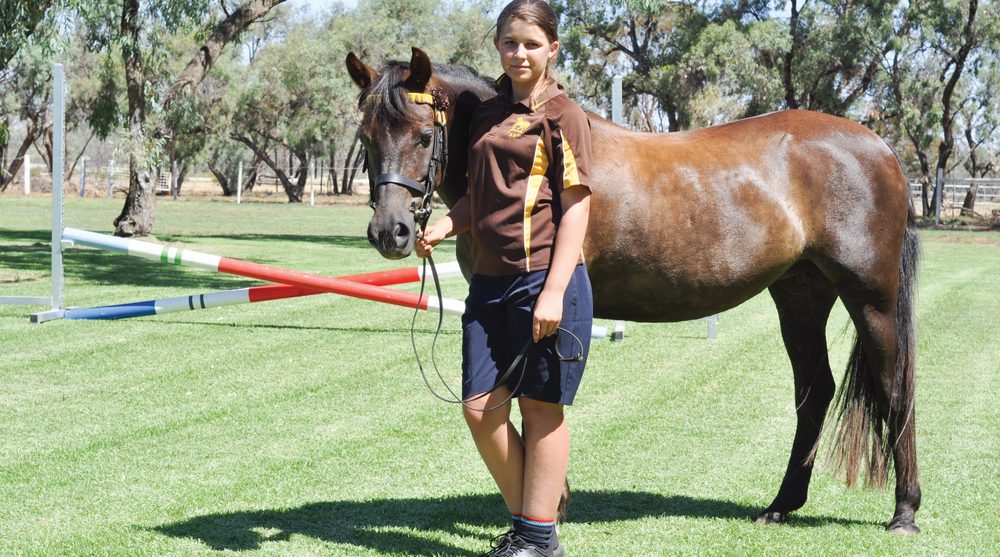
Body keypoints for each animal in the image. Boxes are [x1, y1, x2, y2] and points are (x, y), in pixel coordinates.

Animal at [345, 47, 922, 534]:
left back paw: (905, 512)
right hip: (800, 295)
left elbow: (535, 403)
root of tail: (882, 148)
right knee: (815, 392)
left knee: (894, 389)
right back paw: (781, 505)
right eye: (366, 138)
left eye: (424, 136)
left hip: (871, 298)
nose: (390, 232)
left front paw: (550, 507)